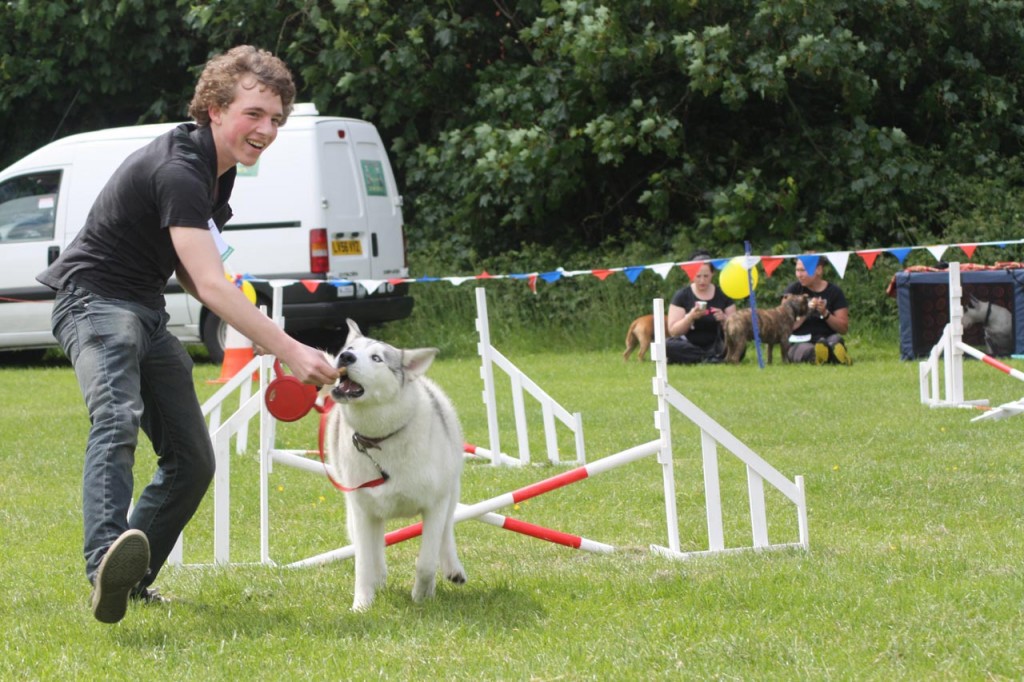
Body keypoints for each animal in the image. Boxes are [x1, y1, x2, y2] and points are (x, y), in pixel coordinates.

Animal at [321, 319, 466, 610]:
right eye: (350, 349)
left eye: (377, 358)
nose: (346, 357)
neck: (380, 439)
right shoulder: (363, 511)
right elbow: (363, 563)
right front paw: (361, 605)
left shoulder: (435, 505)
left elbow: (426, 562)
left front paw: (421, 596)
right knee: (373, 548)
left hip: (451, 491)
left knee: (446, 532)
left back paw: (452, 568)